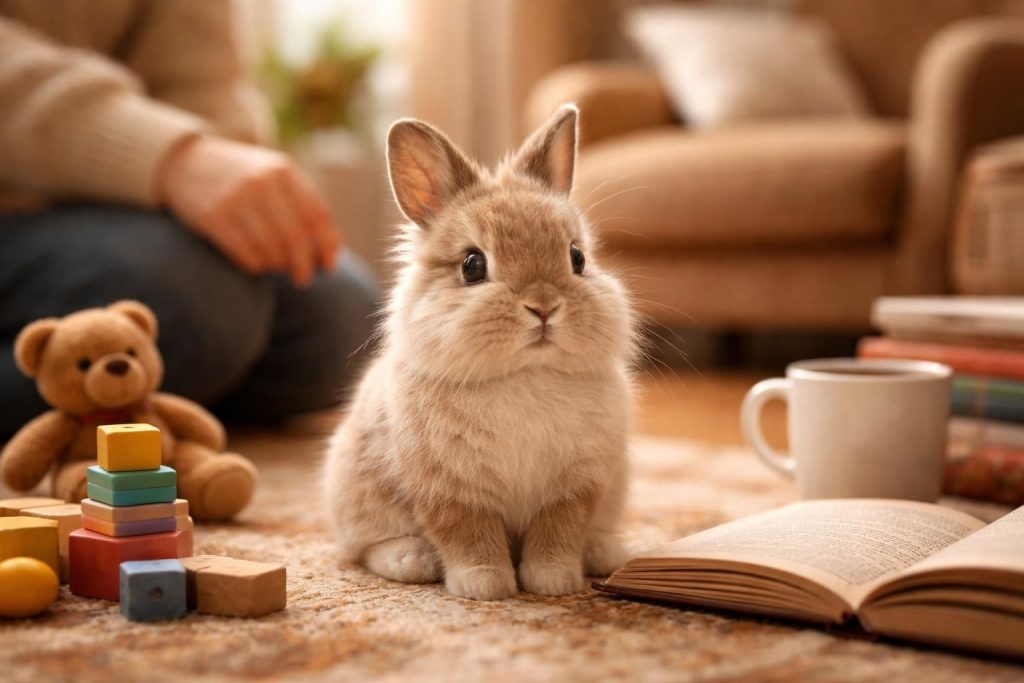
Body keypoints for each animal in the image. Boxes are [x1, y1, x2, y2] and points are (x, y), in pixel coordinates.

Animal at [324, 104, 636, 600]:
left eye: (577, 258)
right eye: (472, 265)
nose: (544, 307)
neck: (525, 375)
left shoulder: (575, 489)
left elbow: (559, 531)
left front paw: (553, 581)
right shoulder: (448, 491)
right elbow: (467, 533)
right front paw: (485, 586)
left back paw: (605, 553)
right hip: (357, 493)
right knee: (365, 547)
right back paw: (411, 560)